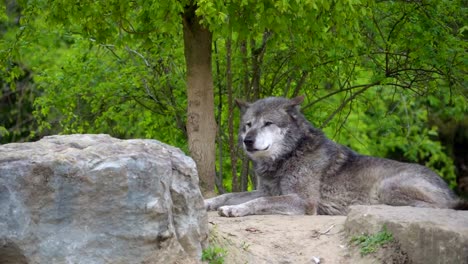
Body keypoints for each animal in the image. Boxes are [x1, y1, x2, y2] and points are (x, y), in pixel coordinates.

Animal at [206, 96, 464, 216]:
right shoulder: (266, 190)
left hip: (388, 188)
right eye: (248, 125)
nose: (247, 140)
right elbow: (230, 194)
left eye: (268, 123)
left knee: (443, 207)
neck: (289, 155)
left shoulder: (304, 201)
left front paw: (236, 210)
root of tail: (450, 190)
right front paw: (208, 202)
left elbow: (259, 202)